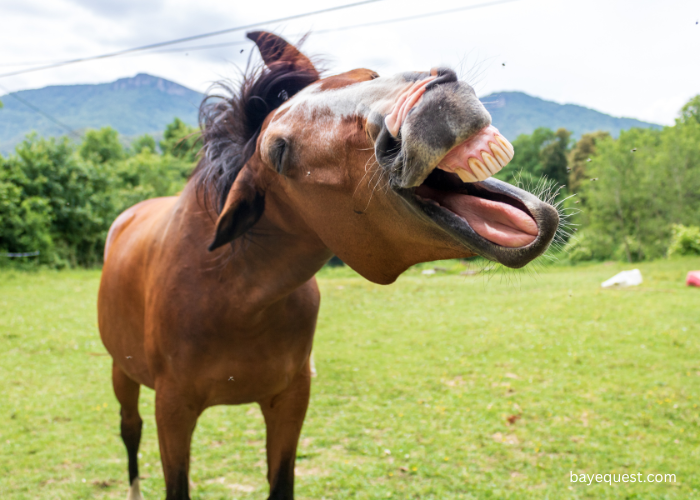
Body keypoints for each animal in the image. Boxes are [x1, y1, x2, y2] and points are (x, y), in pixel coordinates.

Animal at [98, 31, 556, 500]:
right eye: (279, 152)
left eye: (368, 74)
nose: (430, 106)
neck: (231, 295)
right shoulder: (172, 409)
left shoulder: (291, 400)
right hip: (122, 372)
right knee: (130, 430)